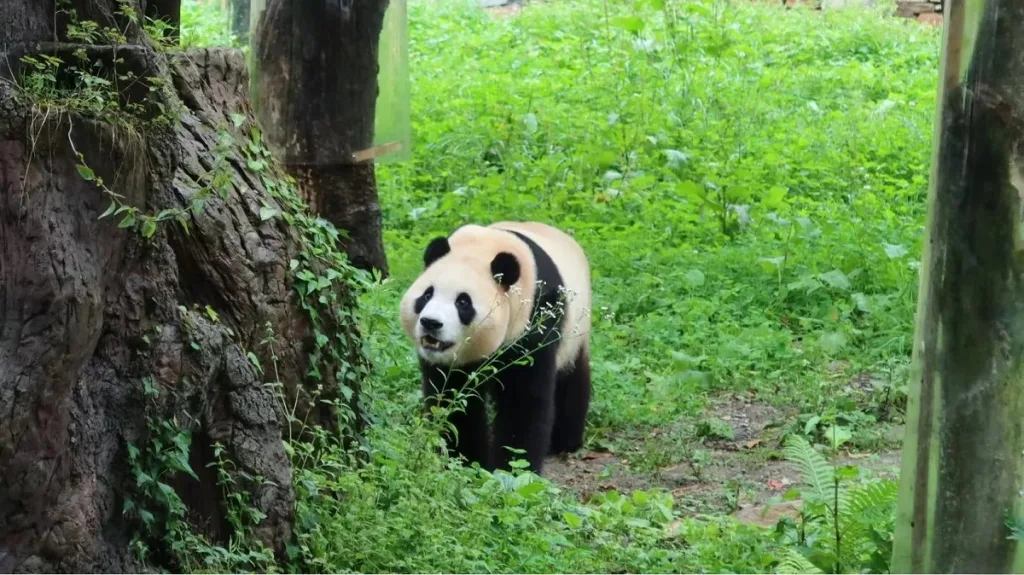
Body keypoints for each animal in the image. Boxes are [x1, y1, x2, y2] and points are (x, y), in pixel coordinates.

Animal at [399, 221, 592, 475]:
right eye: (427, 295)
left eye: (463, 302)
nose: (431, 323)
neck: (480, 248)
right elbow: (452, 399)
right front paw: (466, 461)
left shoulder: (534, 320)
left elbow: (523, 401)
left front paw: (512, 469)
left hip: (576, 330)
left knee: (572, 378)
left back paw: (565, 442)